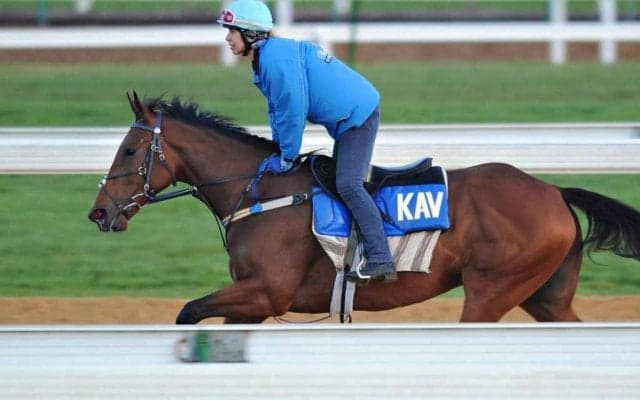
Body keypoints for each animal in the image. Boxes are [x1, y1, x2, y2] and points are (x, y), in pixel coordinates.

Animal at [88, 92, 640, 324]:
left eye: (130, 151)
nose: (98, 213)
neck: (260, 194)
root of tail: (552, 190)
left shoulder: (266, 293)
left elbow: (186, 312)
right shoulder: (255, 305)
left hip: (491, 292)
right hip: (545, 296)